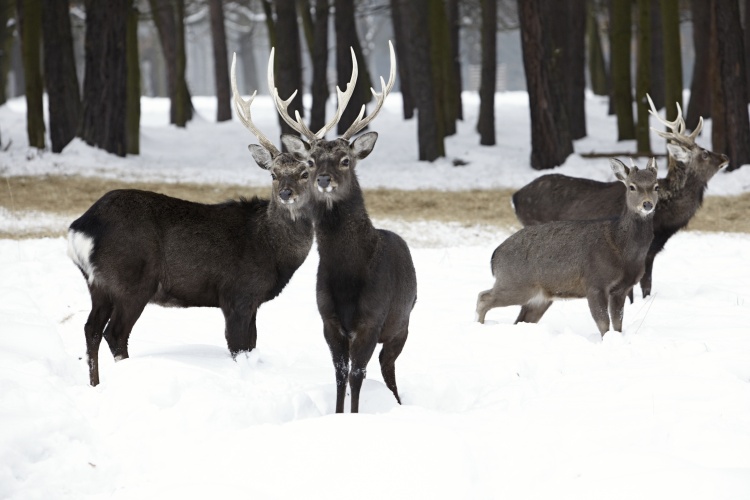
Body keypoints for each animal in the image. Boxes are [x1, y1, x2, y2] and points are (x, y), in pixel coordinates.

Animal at [69, 53, 316, 386]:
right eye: (274, 174)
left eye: (305, 173)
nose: (287, 193)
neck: (271, 249)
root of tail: (80, 228)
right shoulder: (236, 294)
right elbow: (239, 348)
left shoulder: (250, 301)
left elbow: (251, 346)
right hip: (131, 279)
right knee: (115, 333)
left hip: (98, 284)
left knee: (91, 329)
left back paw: (96, 386)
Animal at [268, 43, 418, 412]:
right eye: (309, 162)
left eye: (345, 160)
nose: (324, 179)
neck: (348, 272)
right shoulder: (329, 321)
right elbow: (339, 374)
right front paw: (337, 415)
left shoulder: (372, 319)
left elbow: (357, 376)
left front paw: (354, 416)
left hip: (403, 323)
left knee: (388, 367)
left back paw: (398, 403)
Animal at [478, 156, 660, 336]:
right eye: (632, 187)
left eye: (656, 186)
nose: (647, 204)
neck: (622, 250)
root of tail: (494, 256)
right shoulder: (595, 283)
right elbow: (603, 323)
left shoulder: (622, 289)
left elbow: (617, 323)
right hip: (515, 282)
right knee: (483, 297)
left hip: (539, 297)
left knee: (520, 318)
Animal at [516, 94, 732, 300]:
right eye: (704, 153)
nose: (725, 157)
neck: (665, 220)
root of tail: (516, 196)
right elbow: (636, 289)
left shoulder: (651, 251)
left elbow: (646, 287)